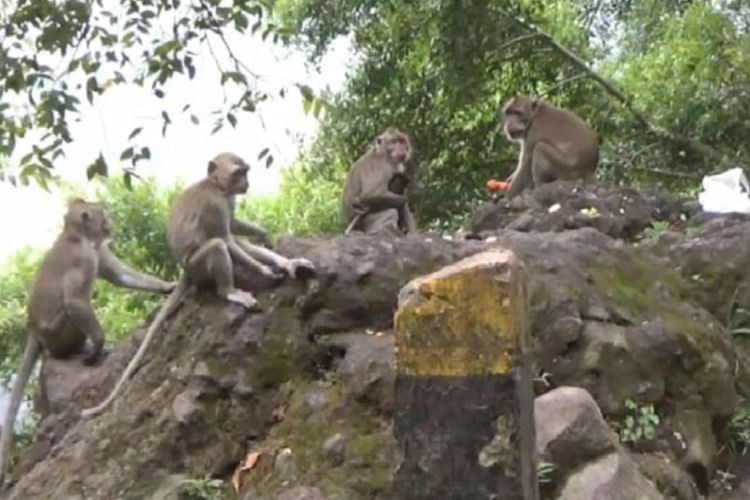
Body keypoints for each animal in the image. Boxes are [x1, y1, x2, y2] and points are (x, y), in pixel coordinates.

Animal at [0, 198, 175, 480]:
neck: (75, 234)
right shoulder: (83, 258)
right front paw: (99, 346)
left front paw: (167, 286)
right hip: (58, 333)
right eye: (102, 214)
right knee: (70, 311)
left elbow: (120, 277)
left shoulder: (97, 250)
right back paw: (79, 351)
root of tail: (34, 329)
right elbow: (74, 301)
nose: (110, 224)